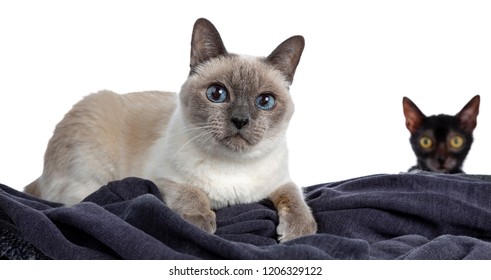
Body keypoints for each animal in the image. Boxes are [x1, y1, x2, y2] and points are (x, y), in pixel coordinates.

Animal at [26, 18, 320, 241]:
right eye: (217, 94)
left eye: (265, 101)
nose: (240, 120)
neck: (233, 166)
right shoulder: (161, 179)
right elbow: (193, 193)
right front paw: (200, 222)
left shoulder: (282, 181)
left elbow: (297, 201)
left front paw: (299, 233)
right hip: (94, 167)